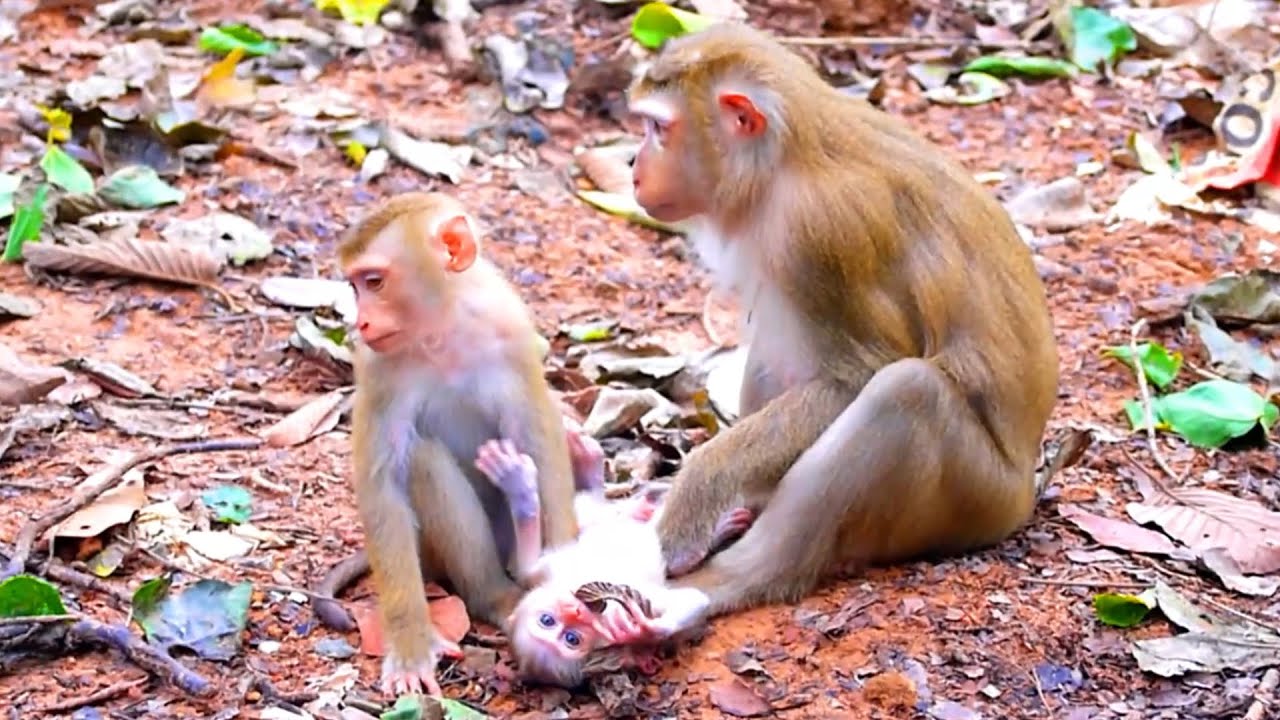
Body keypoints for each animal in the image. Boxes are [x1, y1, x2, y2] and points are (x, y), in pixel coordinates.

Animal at [338, 192, 581, 697]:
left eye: (374, 282)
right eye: (355, 286)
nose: (361, 323)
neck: (441, 329)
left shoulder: (510, 328)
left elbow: (538, 434)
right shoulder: (377, 368)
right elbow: (383, 484)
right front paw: (411, 645)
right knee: (422, 459)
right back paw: (496, 596)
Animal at [473, 436, 753, 688]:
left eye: (547, 620)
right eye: (572, 639)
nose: (574, 611)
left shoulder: (543, 575)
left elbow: (525, 568)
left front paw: (519, 491)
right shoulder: (625, 608)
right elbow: (694, 599)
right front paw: (647, 631)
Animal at [614, 23, 1059, 632]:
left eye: (658, 128)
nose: (633, 165)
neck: (786, 160)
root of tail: (1025, 493)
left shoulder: (822, 231)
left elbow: (859, 376)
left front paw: (695, 494)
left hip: (976, 500)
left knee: (905, 392)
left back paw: (735, 578)